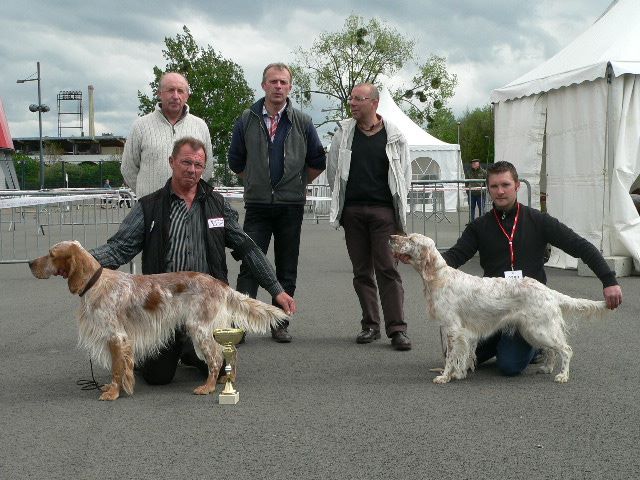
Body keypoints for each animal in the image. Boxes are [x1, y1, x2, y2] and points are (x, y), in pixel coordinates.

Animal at [30, 240, 288, 402]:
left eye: (51, 254)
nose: (30, 263)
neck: (96, 284)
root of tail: (220, 284)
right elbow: (119, 368)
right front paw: (116, 388)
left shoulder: (116, 336)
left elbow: (117, 368)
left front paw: (113, 393)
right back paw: (226, 379)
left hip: (200, 329)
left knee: (215, 359)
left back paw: (208, 387)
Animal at [390, 232, 608, 382]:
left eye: (411, 239)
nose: (391, 237)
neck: (439, 277)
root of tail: (549, 291)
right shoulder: (460, 333)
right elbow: (462, 355)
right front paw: (459, 373)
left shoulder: (452, 329)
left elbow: (451, 356)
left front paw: (445, 376)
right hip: (533, 330)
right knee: (552, 350)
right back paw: (547, 368)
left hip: (540, 329)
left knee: (566, 349)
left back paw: (562, 376)